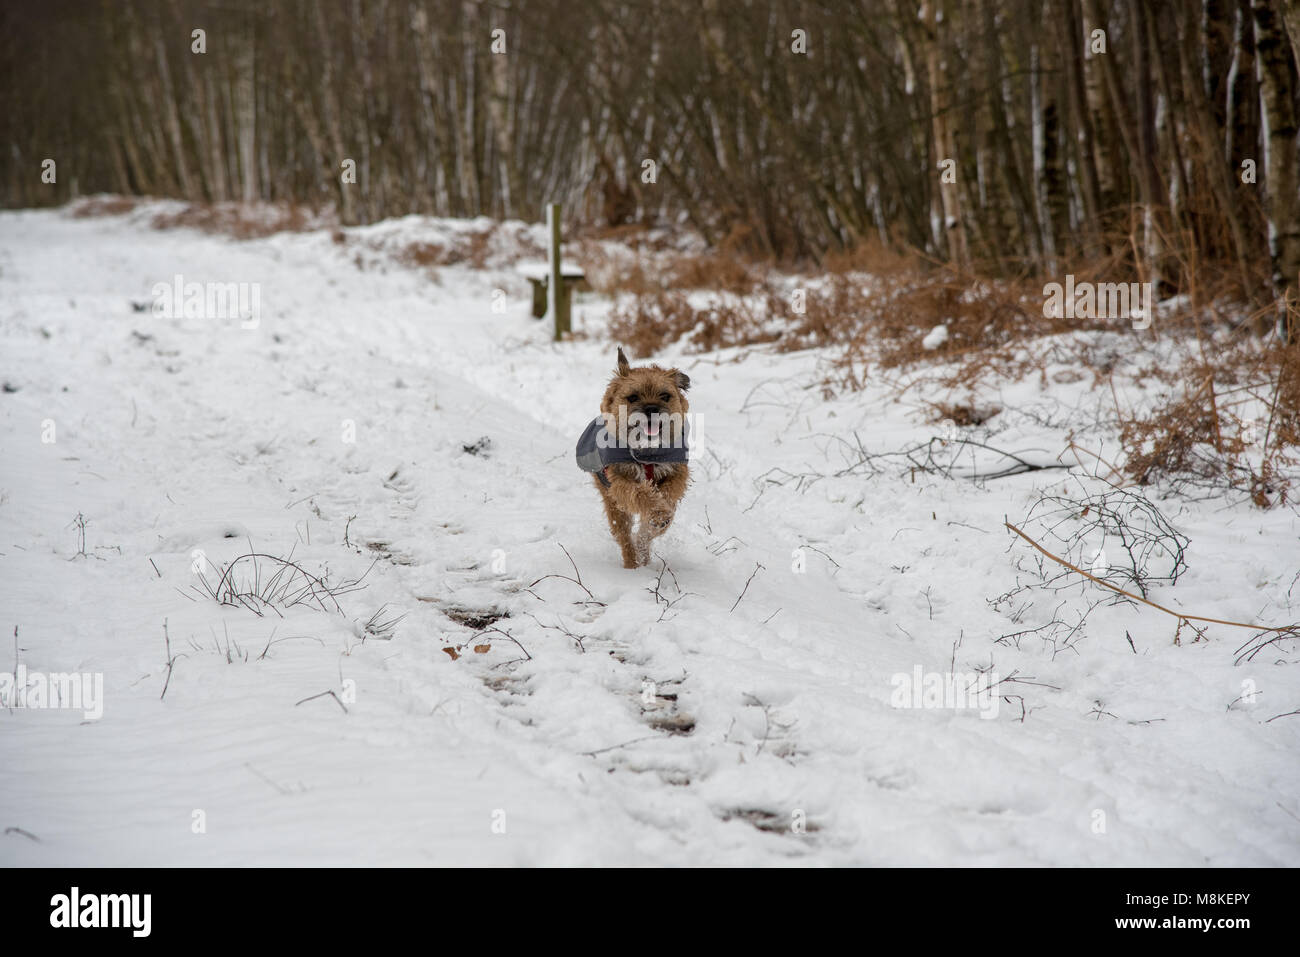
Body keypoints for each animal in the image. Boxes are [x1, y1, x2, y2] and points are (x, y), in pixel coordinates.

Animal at [587, 345, 691, 564]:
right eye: (633, 397)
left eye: (665, 396)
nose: (651, 409)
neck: (647, 453)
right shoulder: (619, 482)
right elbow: (641, 494)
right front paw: (658, 511)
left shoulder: (677, 472)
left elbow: (668, 494)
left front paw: (660, 516)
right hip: (613, 504)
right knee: (624, 536)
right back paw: (632, 564)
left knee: (644, 533)